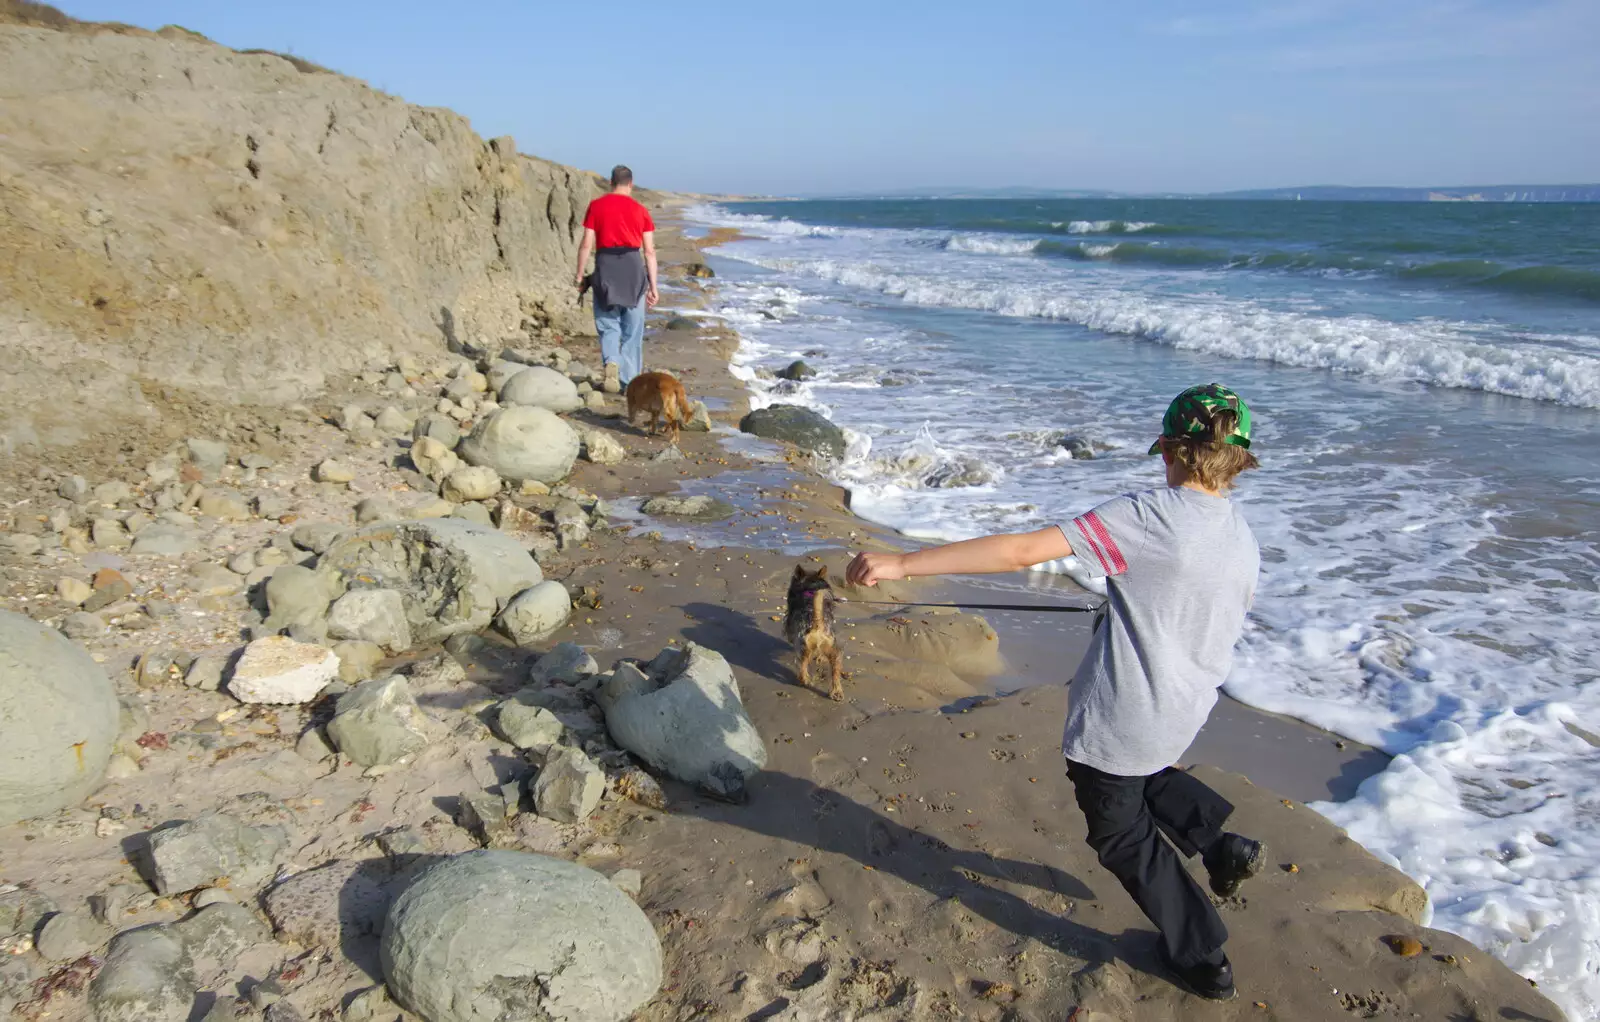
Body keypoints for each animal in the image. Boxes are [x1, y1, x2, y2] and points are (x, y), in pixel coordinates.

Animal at [780, 562, 844, 700]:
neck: (811, 587)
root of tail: (817, 624)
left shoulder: (790, 622)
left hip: (803, 647)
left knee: (803, 665)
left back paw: (805, 680)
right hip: (832, 647)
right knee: (835, 667)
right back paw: (836, 692)